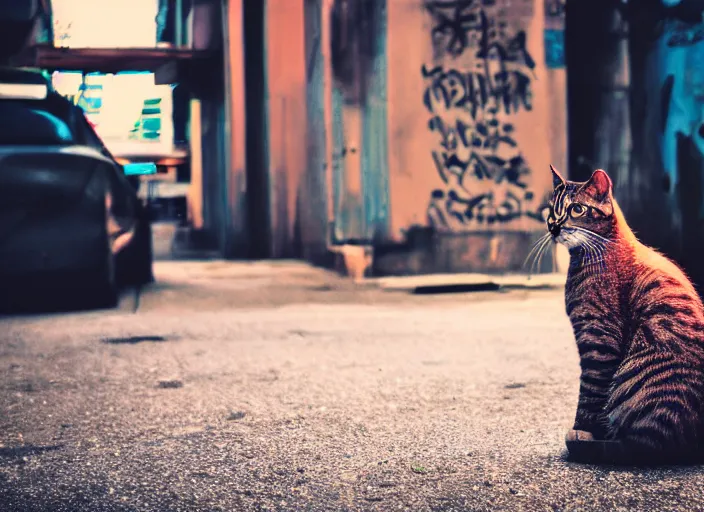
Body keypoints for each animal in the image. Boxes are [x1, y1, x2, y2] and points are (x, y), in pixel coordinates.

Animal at [548, 165, 704, 464]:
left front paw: (582, 430)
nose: (553, 225)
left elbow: (590, 393)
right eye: (551, 209)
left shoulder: (598, 340)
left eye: (576, 209)